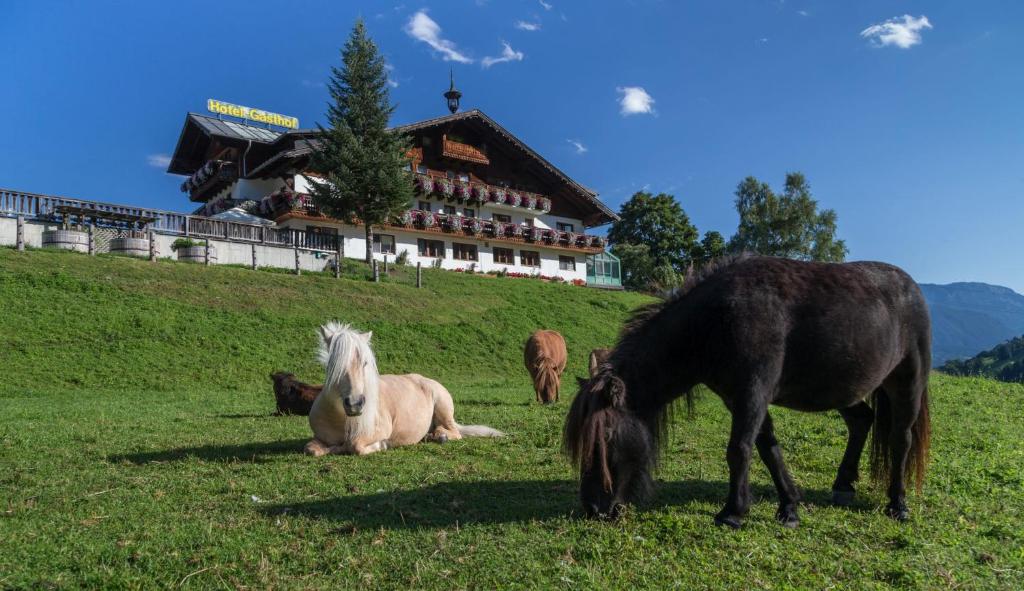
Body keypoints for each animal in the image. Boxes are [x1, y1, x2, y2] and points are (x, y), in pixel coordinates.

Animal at [303, 323, 503, 456]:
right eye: (333, 365)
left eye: (365, 363)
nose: (355, 404)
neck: (341, 419)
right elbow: (311, 449)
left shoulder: (376, 432)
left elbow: (356, 446)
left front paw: (382, 445)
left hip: (443, 408)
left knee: (455, 432)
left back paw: (440, 436)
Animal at [565, 256, 933, 528]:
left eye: (605, 437)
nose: (593, 508)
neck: (716, 321)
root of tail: (912, 287)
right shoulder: (741, 399)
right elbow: (768, 449)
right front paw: (789, 507)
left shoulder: (751, 395)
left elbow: (739, 450)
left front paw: (733, 512)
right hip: (845, 390)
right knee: (861, 422)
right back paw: (843, 486)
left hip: (907, 383)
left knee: (901, 439)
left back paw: (897, 503)